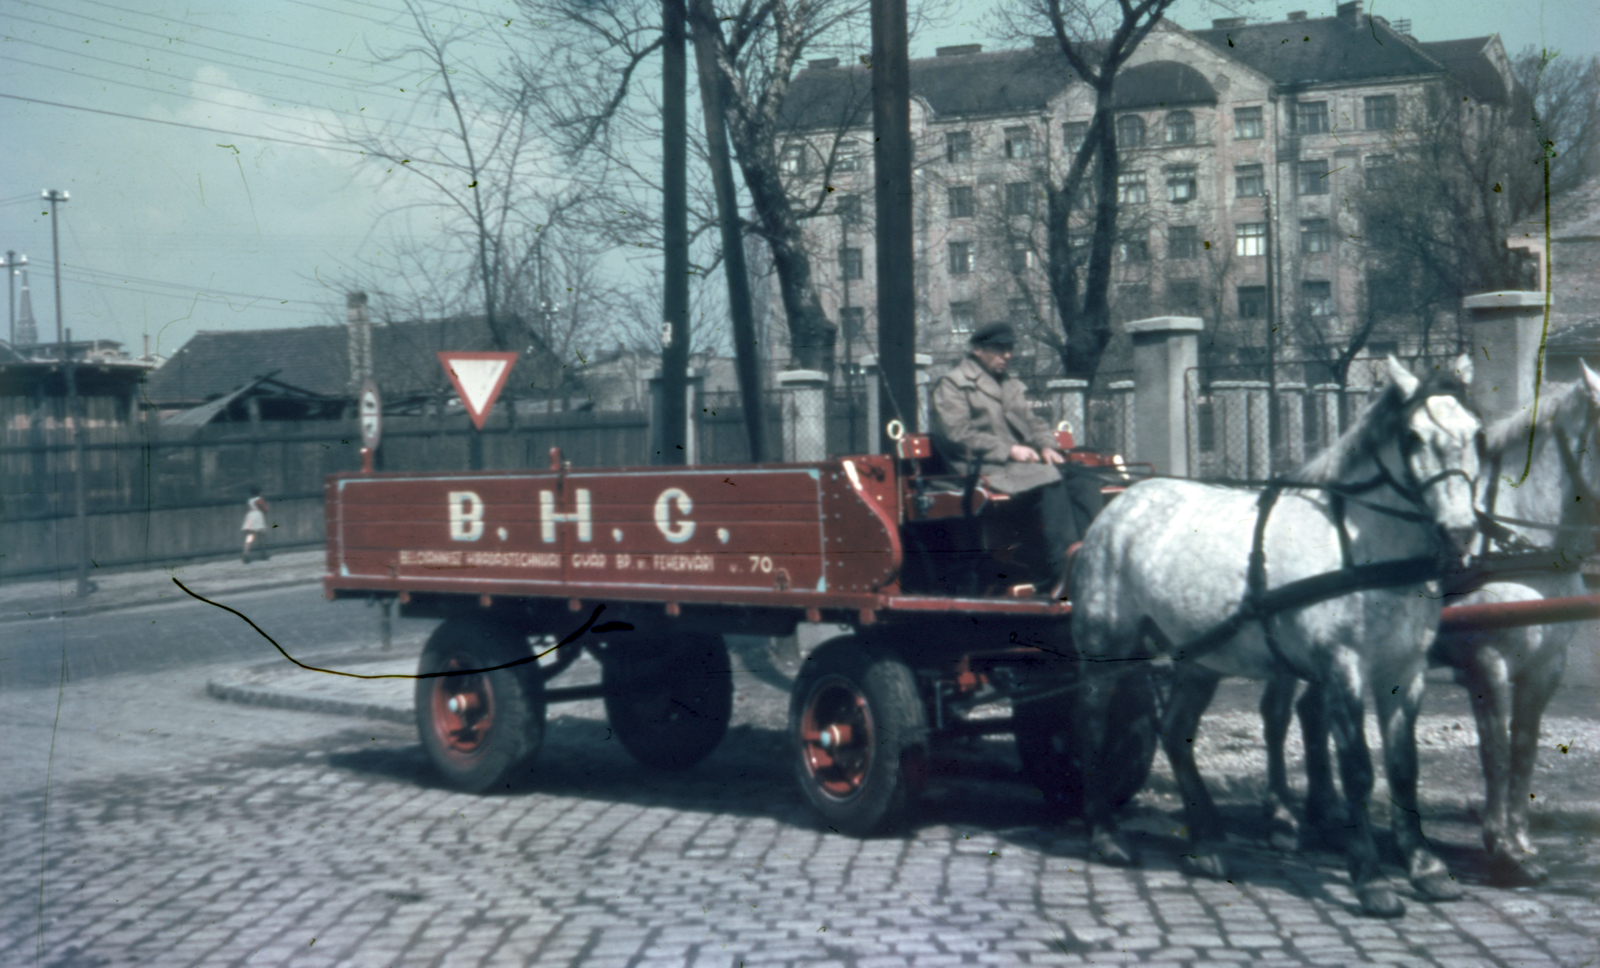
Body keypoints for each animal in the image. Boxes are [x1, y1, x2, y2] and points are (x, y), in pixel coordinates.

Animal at [1068, 358, 1478, 915]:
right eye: (1414, 437)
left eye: (1475, 433)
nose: (1460, 532)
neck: (1362, 548)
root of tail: (1119, 505)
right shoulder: (1342, 667)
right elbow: (1358, 770)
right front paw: (1371, 879)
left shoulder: (1405, 672)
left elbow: (1403, 767)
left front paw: (1425, 867)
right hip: (1106, 646)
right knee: (1091, 723)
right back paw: (1106, 833)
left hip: (1200, 657)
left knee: (1175, 732)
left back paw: (1207, 843)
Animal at [1260, 361, 1600, 883]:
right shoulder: (1488, 664)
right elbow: (1496, 753)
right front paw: (1502, 848)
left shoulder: (1545, 669)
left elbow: (1524, 750)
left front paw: (1521, 842)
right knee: (1277, 715)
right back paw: (1281, 817)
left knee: (1311, 713)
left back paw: (1327, 813)